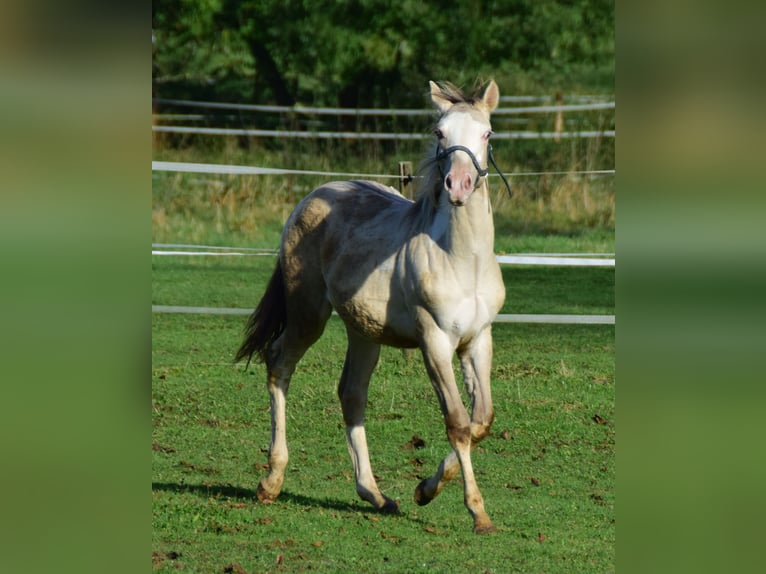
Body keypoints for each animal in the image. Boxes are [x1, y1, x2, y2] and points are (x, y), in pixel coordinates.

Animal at [237, 80, 508, 536]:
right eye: (440, 133)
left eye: (486, 133)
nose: (458, 185)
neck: (460, 259)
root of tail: (311, 196)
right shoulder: (434, 341)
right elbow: (457, 421)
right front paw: (478, 512)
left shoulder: (477, 340)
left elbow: (480, 421)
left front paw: (424, 489)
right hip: (308, 314)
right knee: (278, 364)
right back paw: (271, 481)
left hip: (363, 332)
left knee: (351, 393)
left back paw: (376, 495)